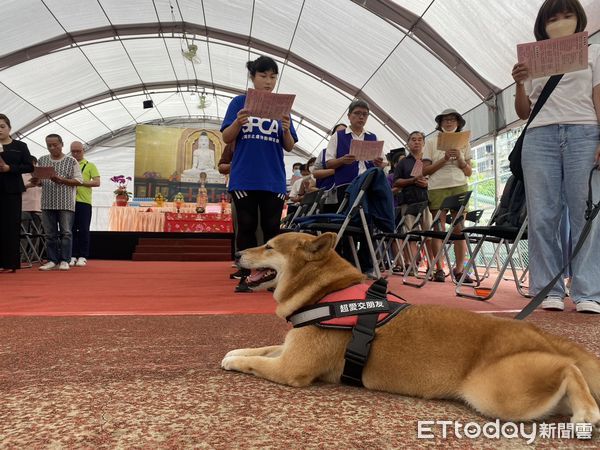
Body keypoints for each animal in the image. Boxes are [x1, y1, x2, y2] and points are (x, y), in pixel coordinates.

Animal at [223, 232, 600, 426]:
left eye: (269, 246)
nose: (237, 252)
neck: (326, 292)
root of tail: (545, 335)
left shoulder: (292, 367)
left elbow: (256, 362)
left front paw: (236, 361)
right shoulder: (290, 347)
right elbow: (259, 349)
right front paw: (232, 351)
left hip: (497, 391)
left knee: (569, 370)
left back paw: (587, 412)